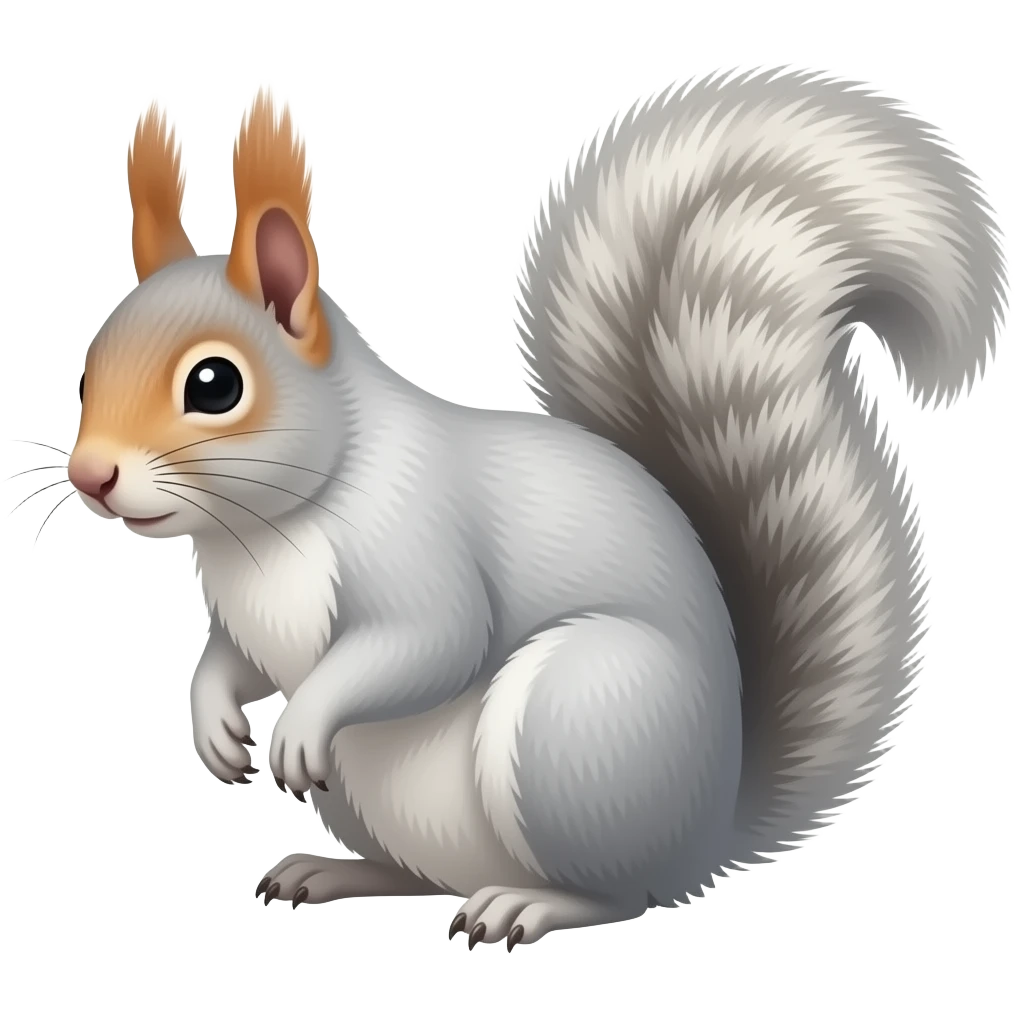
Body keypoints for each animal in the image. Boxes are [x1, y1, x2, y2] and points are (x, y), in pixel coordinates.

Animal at [68, 67, 1008, 945]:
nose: (90, 474)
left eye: (214, 384)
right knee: (422, 872)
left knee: (623, 891)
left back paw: (529, 903)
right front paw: (212, 720)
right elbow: (232, 658)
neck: (263, 531)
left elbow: (432, 639)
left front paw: (299, 722)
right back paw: (335, 871)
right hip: (380, 799)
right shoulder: (246, 613)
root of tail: (707, 828)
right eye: (86, 371)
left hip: (575, 722)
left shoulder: (415, 539)